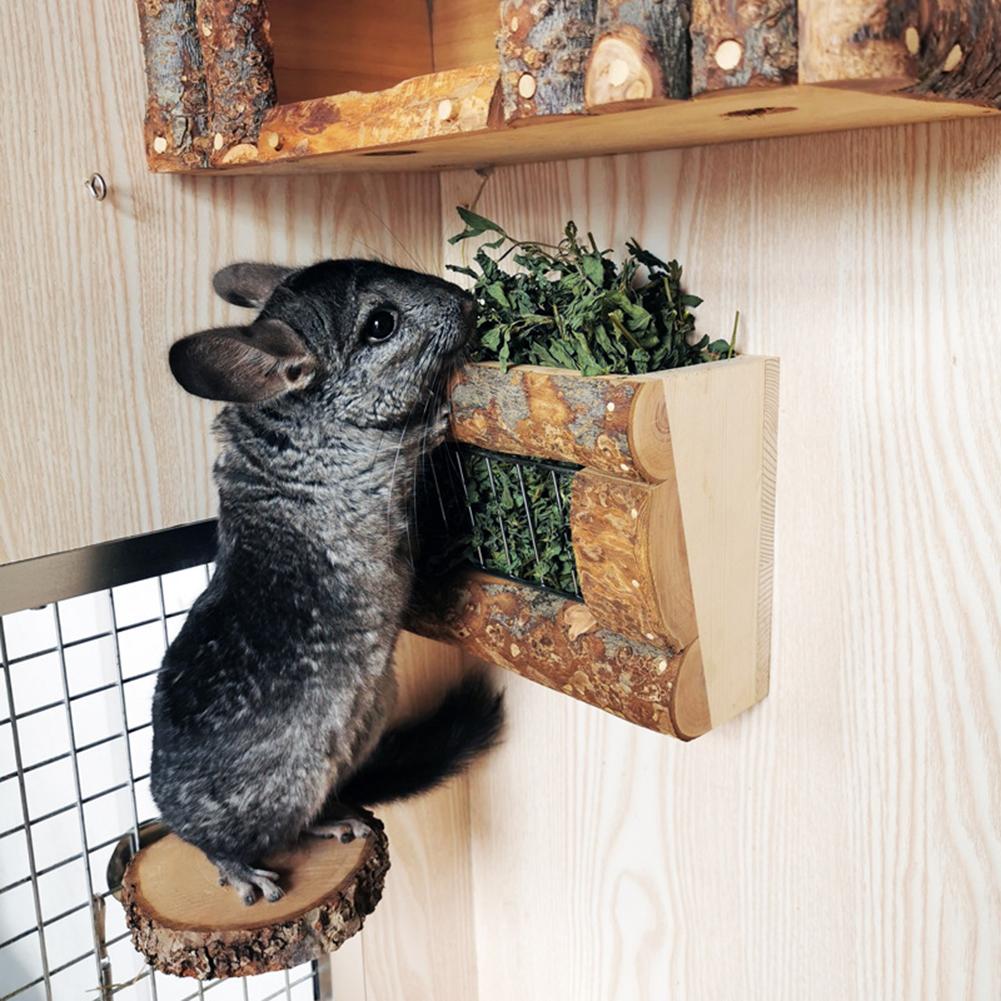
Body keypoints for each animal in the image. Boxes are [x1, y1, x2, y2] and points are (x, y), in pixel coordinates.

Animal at [151, 259, 503, 905]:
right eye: (380, 323)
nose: (468, 302)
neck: (305, 415)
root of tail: (166, 813)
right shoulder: (379, 461)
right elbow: (418, 435)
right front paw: (442, 415)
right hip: (286, 786)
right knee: (221, 847)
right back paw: (248, 878)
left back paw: (339, 822)